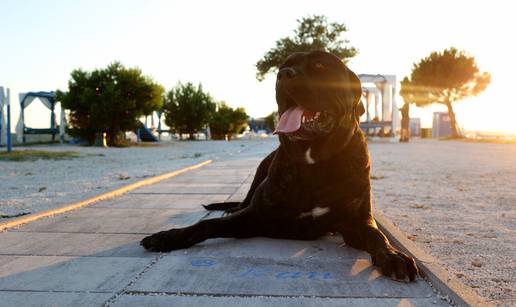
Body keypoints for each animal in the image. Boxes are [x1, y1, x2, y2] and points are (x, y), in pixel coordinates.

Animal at [141, 50, 420, 282]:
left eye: (320, 66)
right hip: (260, 171)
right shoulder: (257, 216)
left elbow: (377, 236)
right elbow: (206, 225)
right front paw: (168, 236)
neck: (313, 160)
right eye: (284, 65)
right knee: (243, 201)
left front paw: (393, 256)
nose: (283, 75)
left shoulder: (357, 221)